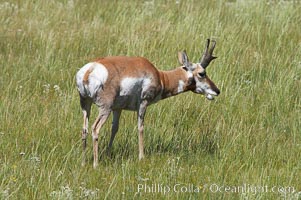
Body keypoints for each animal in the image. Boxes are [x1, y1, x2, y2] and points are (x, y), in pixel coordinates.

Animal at [76, 39, 219, 167]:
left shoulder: (118, 108)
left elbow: (114, 129)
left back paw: (83, 163)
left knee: (84, 129)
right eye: (202, 73)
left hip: (86, 105)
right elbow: (140, 127)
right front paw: (141, 157)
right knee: (95, 128)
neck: (161, 77)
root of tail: (89, 70)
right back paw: (95, 164)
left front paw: (107, 154)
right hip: (105, 109)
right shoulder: (143, 103)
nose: (217, 91)